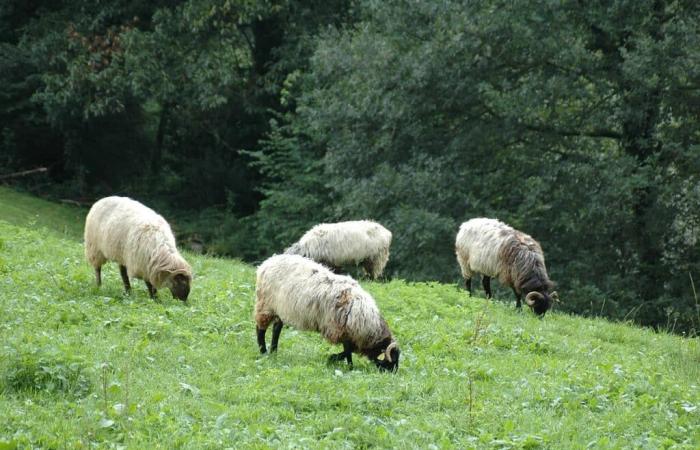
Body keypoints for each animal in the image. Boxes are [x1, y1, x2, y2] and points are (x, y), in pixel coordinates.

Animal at [256, 255, 400, 370]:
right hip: (265, 304)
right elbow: (348, 351)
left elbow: (348, 351)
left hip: (279, 308)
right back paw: (263, 352)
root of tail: (267, 262)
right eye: (392, 360)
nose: (393, 373)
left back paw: (274, 352)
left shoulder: (346, 333)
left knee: (276, 329)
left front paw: (337, 360)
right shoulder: (342, 330)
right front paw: (343, 363)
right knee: (260, 329)